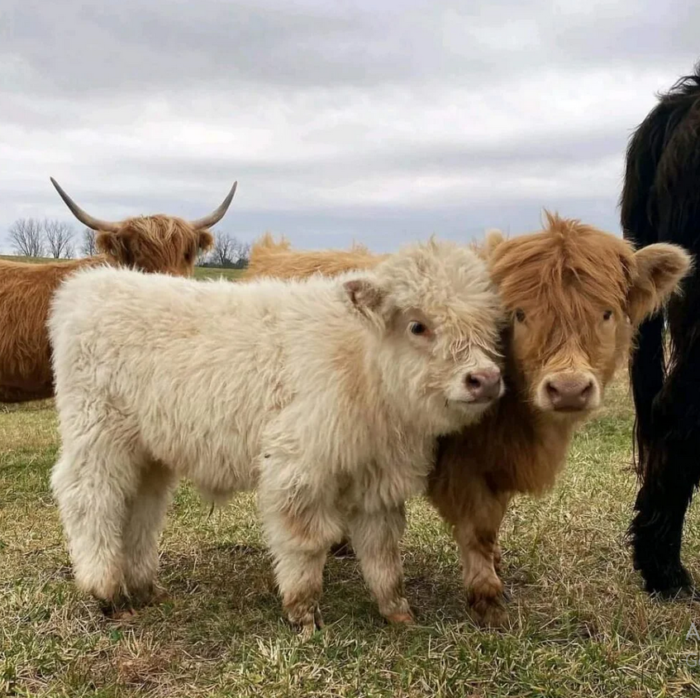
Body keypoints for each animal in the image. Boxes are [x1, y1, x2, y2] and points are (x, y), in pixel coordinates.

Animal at [49, 239, 506, 632]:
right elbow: (306, 544)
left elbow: (383, 552)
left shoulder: (378, 480)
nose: (485, 379)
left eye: (486, 323)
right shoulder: (298, 469)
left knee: (140, 508)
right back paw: (106, 591)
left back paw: (145, 587)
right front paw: (303, 616)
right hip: (98, 436)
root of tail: (91, 286)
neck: (361, 361)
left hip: (148, 453)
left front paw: (398, 612)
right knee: (89, 499)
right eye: (417, 325)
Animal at [245, 213, 688, 624]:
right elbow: (477, 530)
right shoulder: (463, 469)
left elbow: (491, 528)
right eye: (519, 315)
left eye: (607, 313)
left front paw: (496, 569)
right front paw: (486, 598)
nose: (568, 388)